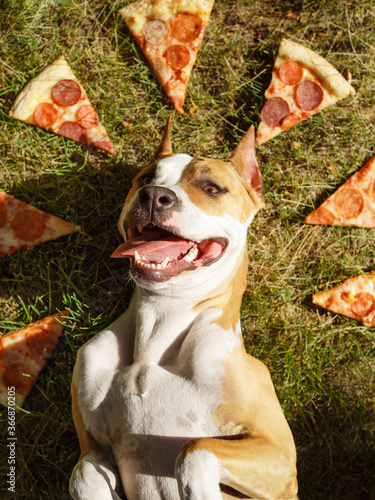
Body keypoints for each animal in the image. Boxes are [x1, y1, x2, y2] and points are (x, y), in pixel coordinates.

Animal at [70, 120, 300, 500]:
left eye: (212, 188)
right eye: (145, 178)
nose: (154, 195)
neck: (160, 320)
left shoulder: (280, 459)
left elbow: (195, 448)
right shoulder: (94, 449)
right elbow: (84, 473)